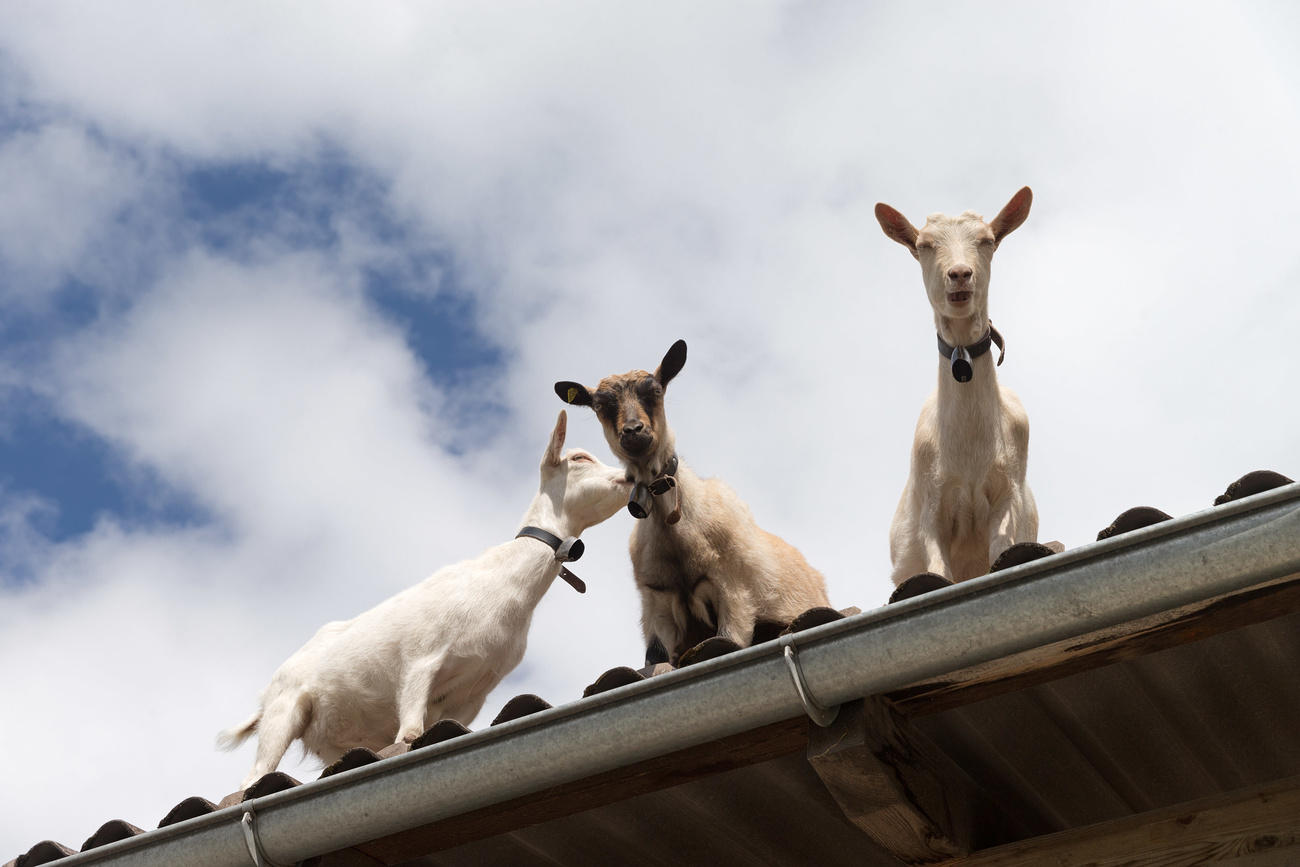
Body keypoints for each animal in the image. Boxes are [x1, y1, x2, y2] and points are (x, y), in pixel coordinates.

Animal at [217, 410, 629, 790]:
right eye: (579, 457)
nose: (627, 477)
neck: (500, 587)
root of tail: (267, 695)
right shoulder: (420, 660)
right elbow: (410, 732)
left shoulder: (471, 695)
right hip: (284, 712)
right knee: (254, 775)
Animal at [553, 337, 826, 665]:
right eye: (600, 406)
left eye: (655, 391)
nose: (633, 431)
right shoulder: (657, 605)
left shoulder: (733, 592)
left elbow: (729, 638)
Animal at [873, 187, 1045, 587]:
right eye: (924, 245)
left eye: (987, 240)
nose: (960, 274)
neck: (969, 455)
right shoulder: (933, 510)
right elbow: (939, 571)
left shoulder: (1006, 497)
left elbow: (1001, 551)